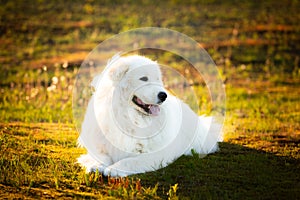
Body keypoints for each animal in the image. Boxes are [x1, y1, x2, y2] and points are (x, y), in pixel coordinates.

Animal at [77, 54, 223, 177]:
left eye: (158, 79)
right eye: (143, 79)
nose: (163, 95)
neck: (129, 118)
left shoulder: (155, 154)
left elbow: (130, 161)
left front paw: (114, 169)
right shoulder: (100, 146)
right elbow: (100, 156)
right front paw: (96, 165)